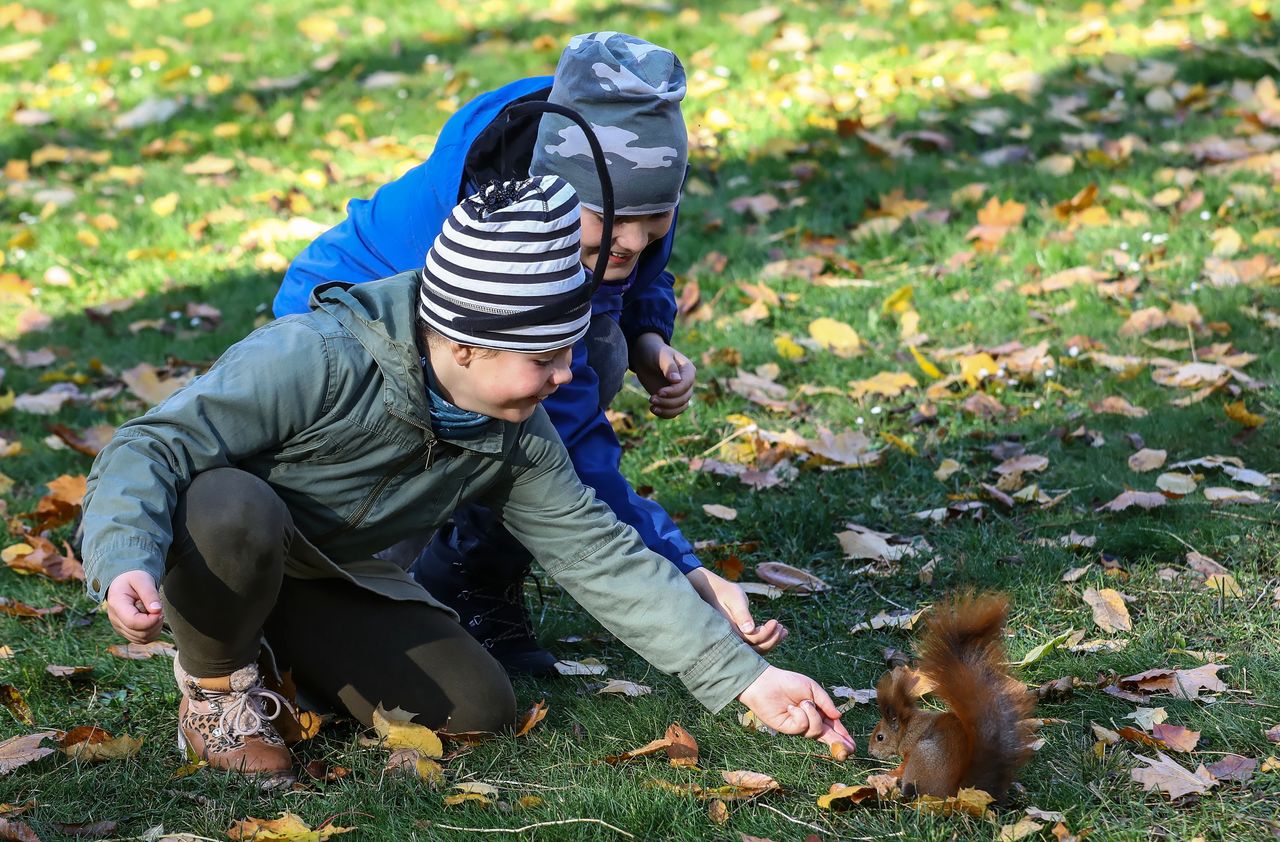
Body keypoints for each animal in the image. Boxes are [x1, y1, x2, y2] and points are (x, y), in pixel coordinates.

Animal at [865, 591, 1034, 798]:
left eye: (880, 737)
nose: (870, 751)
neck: (908, 726)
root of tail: (954, 791)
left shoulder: (910, 749)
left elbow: (902, 766)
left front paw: (889, 774)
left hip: (922, 756)